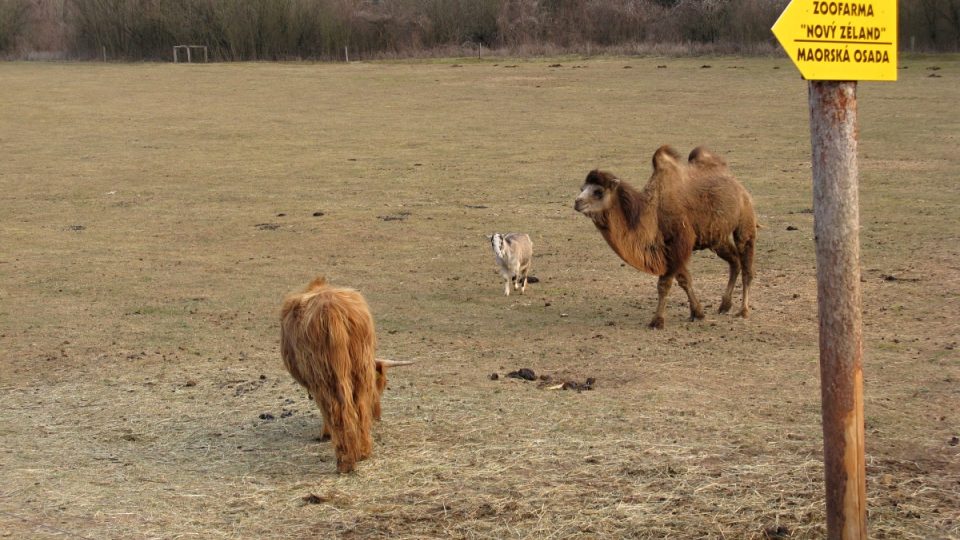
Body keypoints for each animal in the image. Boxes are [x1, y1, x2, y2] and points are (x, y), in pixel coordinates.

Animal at [280, 278, 410, 472]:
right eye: (381, 386)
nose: (377, 416)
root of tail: (332, 309)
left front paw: (325, 434)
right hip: (360, 369)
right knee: (360, 407)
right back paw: (363, 451)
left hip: (325, 377)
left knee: (336, 409)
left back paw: (345, 461)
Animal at [576, 144, 756, 330]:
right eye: (582, 189)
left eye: (598, 191)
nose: (577, 202)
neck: (653, 215)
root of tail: (736, 182)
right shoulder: (671, 249)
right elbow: (684, 279)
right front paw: (698, 313)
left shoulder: (678, 242)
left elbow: (664, 284)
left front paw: (657, 321)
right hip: (716, 237)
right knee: (734, 261)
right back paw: (724, 305)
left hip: (745, 220)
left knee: (747, 265)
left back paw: (743, 311)